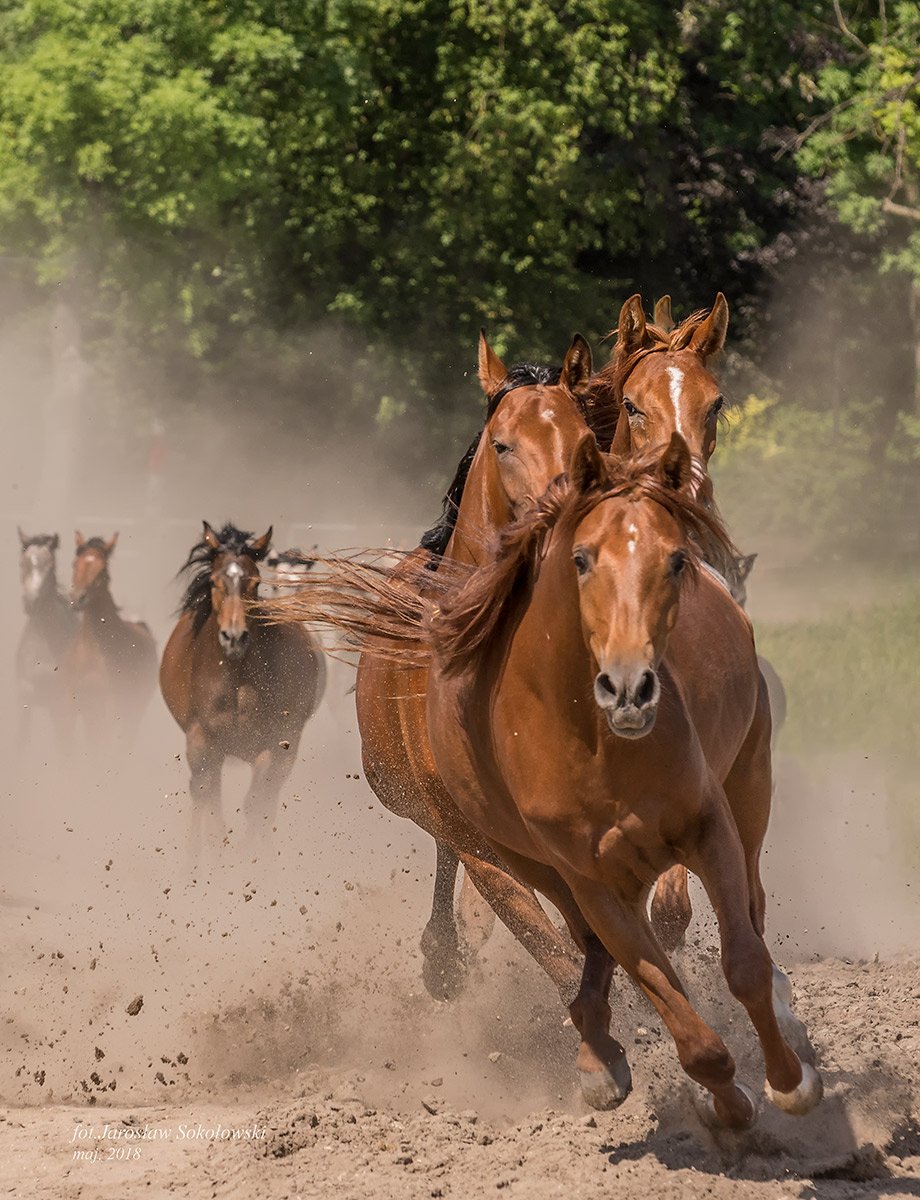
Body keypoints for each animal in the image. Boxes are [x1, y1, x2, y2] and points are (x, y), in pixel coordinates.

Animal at [160, 525, 326, 864]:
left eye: (255, 582)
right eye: (214, 581)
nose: (234, 637)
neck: (236, 681)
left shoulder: (277, 743)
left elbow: (257, 804)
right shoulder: (202, 739)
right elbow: (206, 798)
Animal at [427, 436, 825, 1128]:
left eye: (676, 560)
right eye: (582, 559)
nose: (630, 687)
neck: (599, 750)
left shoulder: (707, 828)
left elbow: (744, 963)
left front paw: (787, 1084)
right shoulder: (592, 881)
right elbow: (668, 1002)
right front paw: (727, 1106)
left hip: (751, 782)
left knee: (753, 900)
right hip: (521, 861)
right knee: (581, 943)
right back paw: (597, 1053)